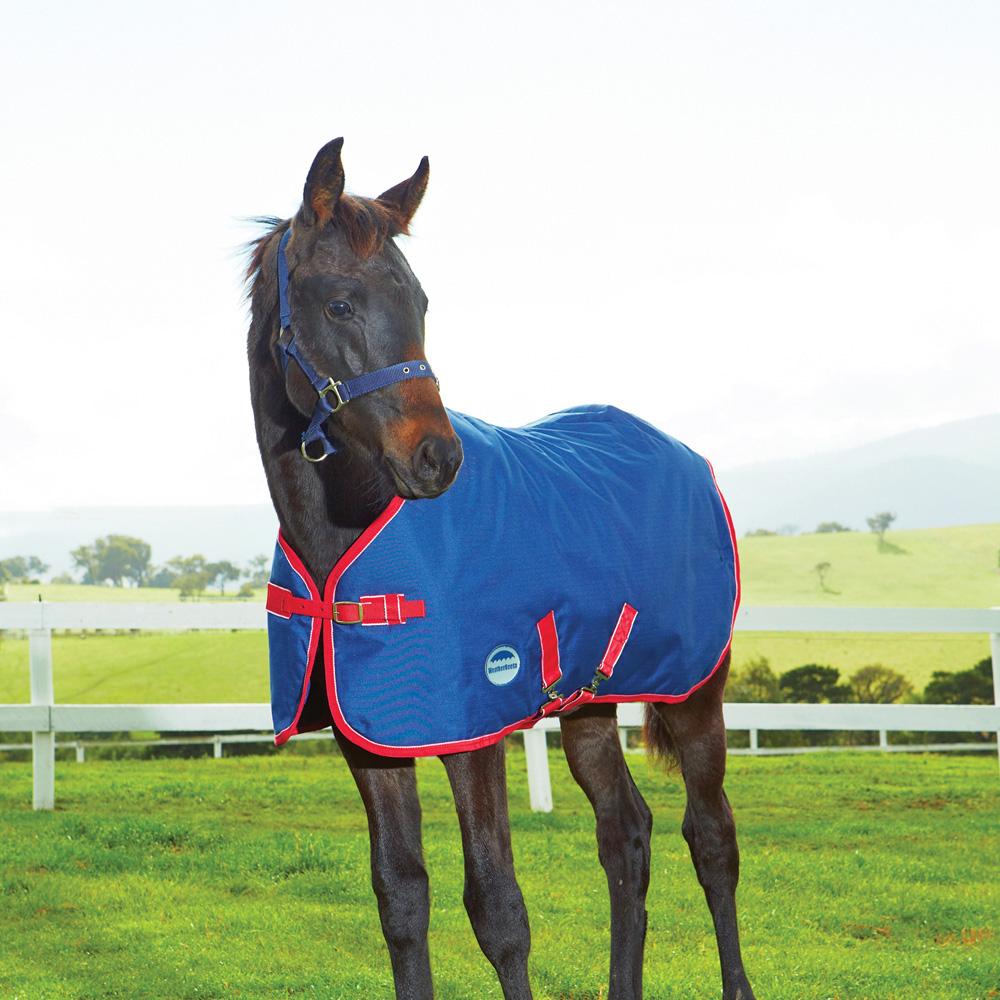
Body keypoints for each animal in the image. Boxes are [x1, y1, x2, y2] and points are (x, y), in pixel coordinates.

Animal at [244, 137, 755, 1000]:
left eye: (421, 301)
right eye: (340, 304)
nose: (437, 458)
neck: (347, 535)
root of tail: (685, 456)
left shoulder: (471, 732)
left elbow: (497, 908)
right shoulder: (370, 741)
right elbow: (401, 899)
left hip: (695, 693)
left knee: (711, 837)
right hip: (588, 704)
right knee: (626, 833)